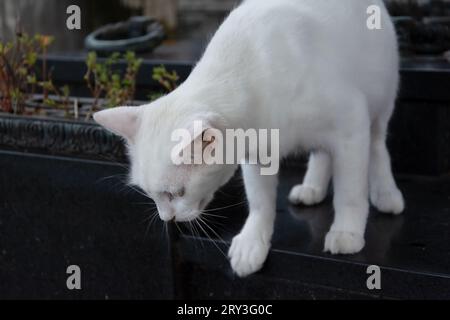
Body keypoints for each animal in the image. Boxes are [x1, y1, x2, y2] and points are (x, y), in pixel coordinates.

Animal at [94, 0, 404, 278]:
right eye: (152, 195)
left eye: (176, 194)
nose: (166, 218)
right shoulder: (257, 156)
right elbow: (260, 202)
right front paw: (253, 242)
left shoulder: (351, 124)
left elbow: (349, 194)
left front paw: (347, 231)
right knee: (322, 153)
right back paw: (312, 188)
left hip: (379, 105)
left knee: (377, 147)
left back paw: (386, 194)